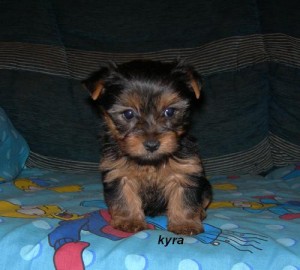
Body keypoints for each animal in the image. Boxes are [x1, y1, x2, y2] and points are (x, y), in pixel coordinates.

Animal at [83, 60, 212, 235]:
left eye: (169, 111)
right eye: (128, 114)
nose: (152, 144)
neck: (149, 163)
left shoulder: (185, 170)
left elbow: (184, 198)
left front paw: (185, 224)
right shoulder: (119, 173)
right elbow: (124, 197)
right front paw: (129, 221)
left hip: (206, 187)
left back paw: (201, 212)